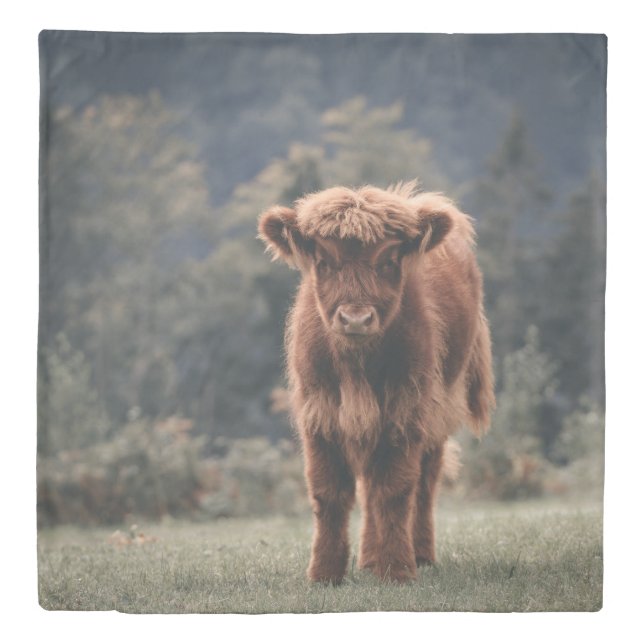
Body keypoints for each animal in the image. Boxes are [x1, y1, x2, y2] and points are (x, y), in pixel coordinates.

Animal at [258, 181, 495, 584]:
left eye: (388, 261)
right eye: (324, 261)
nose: (355, 318)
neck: (357, 366)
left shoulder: (406, 409)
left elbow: (395, 490)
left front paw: (397, 569)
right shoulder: (319, 413)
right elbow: (329, 492)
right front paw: (324, 574)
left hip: (439, 409)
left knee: (424, 483)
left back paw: (419, 555)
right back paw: (369, 560)